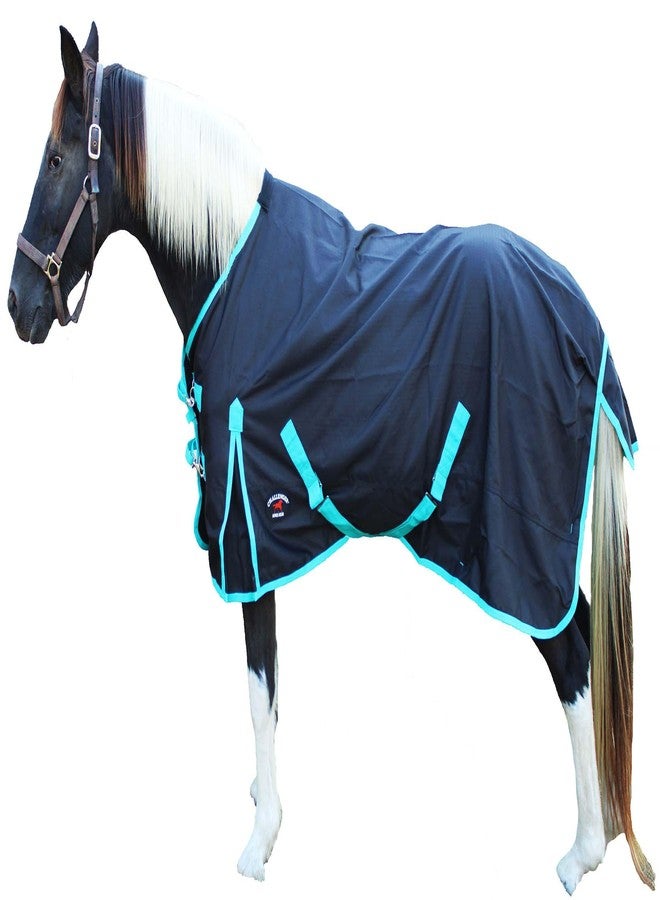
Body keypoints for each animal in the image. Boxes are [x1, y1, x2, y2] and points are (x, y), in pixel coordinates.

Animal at [7, 23, 654, 893]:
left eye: (54, 159)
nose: (19, 306)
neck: (233, 272)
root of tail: (579, 313)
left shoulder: (250, 531)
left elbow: (260, 682)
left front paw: (260, 839)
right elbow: (271, 689)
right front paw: (261, 802)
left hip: (519, 547)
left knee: (574, 656)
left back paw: (582, 849)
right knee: (580, 638)